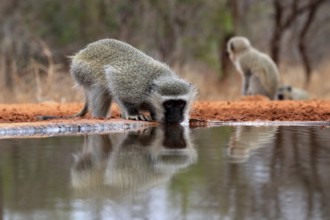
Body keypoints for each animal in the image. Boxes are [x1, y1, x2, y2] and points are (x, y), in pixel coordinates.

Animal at [38, 39, 196, 124]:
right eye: (169, 104)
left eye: (180, 103)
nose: (176, 117)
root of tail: (81, 53)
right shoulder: (133, 86)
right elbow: (114, 83)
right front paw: (133, 114)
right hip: (81, 69)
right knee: (100, 88)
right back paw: (100, 117)